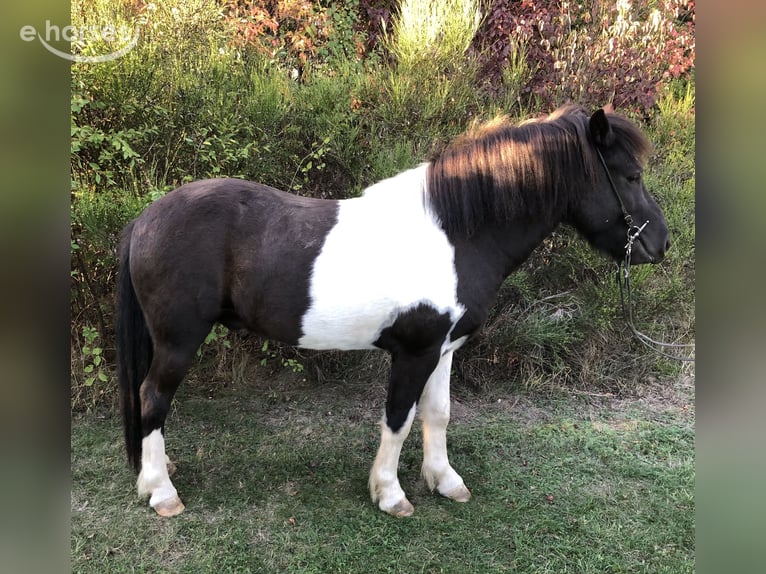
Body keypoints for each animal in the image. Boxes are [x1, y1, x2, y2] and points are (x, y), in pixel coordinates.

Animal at [117, 105, 670, 517]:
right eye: (631, 175)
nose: (661, 245)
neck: (455, 234)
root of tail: (145, 219)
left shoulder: (444, 349)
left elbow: (438, 413)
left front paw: (444, 480)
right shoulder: (414, 351)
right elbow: (399, 418)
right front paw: (390, 493)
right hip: (178, 341)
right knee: (152, 398)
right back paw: (161, 491)